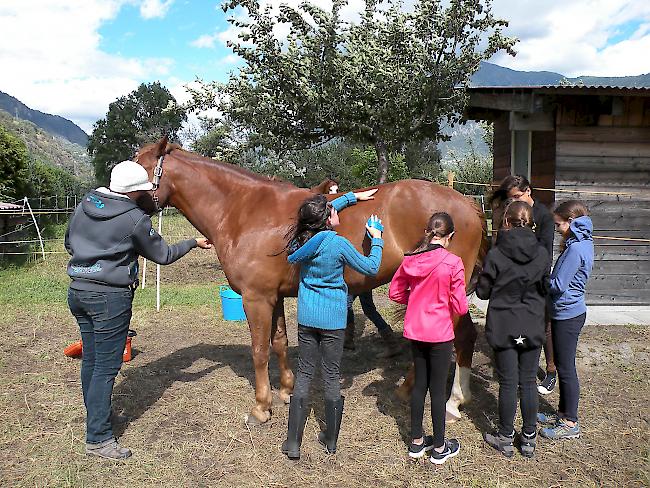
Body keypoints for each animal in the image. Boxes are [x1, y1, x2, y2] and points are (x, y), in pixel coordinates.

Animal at [133, 137, 486, 424]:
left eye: (138, 169)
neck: (243, 211)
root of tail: (467, 202)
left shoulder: (255, 298)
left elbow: (259, 351)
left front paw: (261, 407)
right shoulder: (272, 297)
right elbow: (279, 343)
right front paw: (286, 391)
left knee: (453, 335)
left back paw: (433, 397)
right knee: (462, 335)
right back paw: (450, 400)